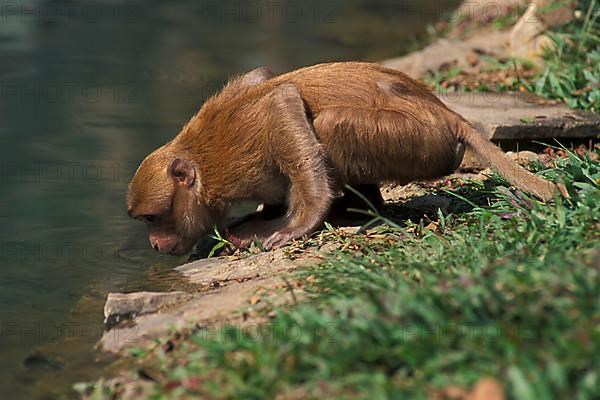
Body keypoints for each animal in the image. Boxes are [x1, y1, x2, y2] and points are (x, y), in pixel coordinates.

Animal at [127, 62, 564, 256]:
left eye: (151, 218)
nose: (154, 244)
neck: (202, 168)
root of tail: (446, 113)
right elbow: (262, 78)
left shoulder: (234, 154)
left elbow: (282, 101)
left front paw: (296, 223)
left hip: (419, 142)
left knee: (331, 124)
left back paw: (353, 211)